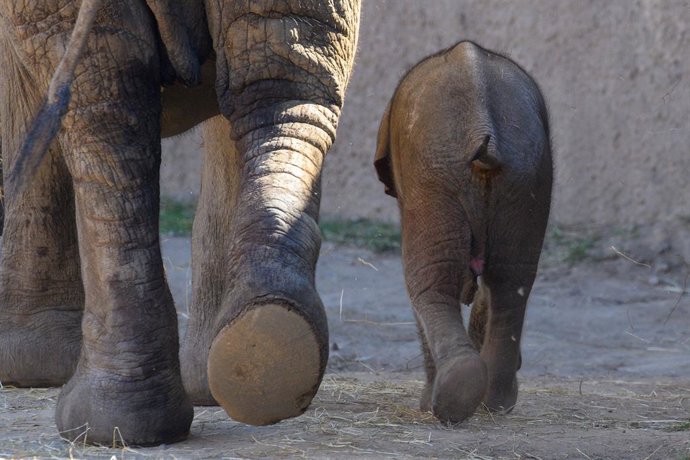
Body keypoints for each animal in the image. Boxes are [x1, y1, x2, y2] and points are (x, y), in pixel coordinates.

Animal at [374, 41, 552, 424]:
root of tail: (482, 131)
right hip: (526, 179)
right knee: (511, 282)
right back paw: (494, 402)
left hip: (437, 182)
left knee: (431, 282)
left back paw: (450, 398)